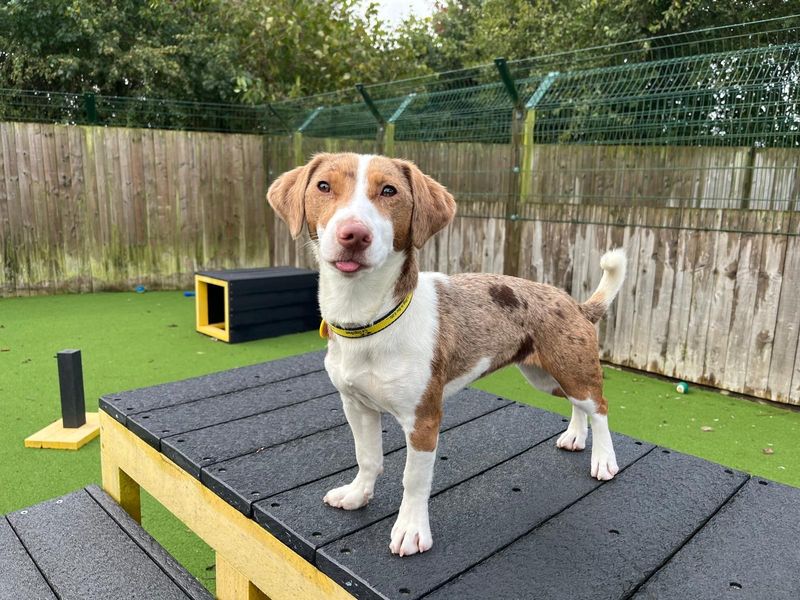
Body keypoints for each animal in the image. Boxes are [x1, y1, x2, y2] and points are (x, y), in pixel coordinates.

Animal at [266, 152, 628, 556]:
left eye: (389, 191)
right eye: (323, 186)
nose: (354, 234)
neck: (369, 318)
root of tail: (574, 304)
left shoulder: (423, 420)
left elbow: (413, 480)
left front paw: (410, 530)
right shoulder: (356, 406)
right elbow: (367, 457)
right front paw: (358, 495)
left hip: (573, 368)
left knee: (599, 407)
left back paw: (604, 460)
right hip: (546, 375)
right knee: (577, 405)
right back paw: (575, 437)